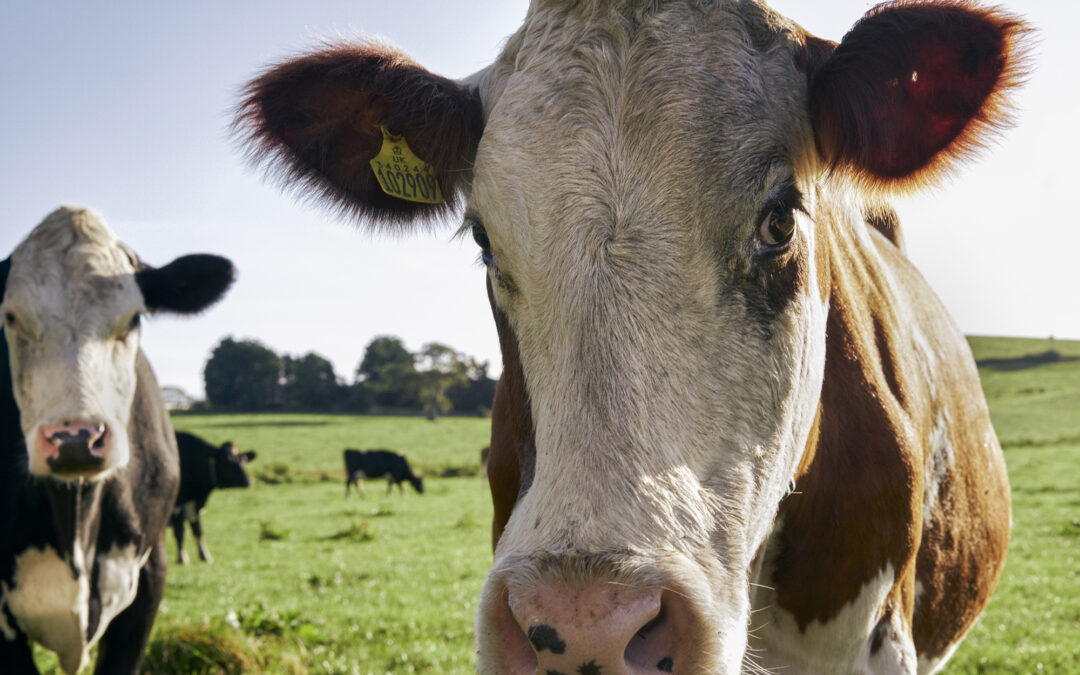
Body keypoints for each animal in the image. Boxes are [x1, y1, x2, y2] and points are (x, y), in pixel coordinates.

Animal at [170, 431, 256, 564]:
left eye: (242, 460)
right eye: (227, 462)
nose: (248, 481)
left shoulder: (195, 508)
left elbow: (198, 531)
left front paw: (205, 556)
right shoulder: (176, 507)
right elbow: (180, 533)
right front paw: (182, 558)